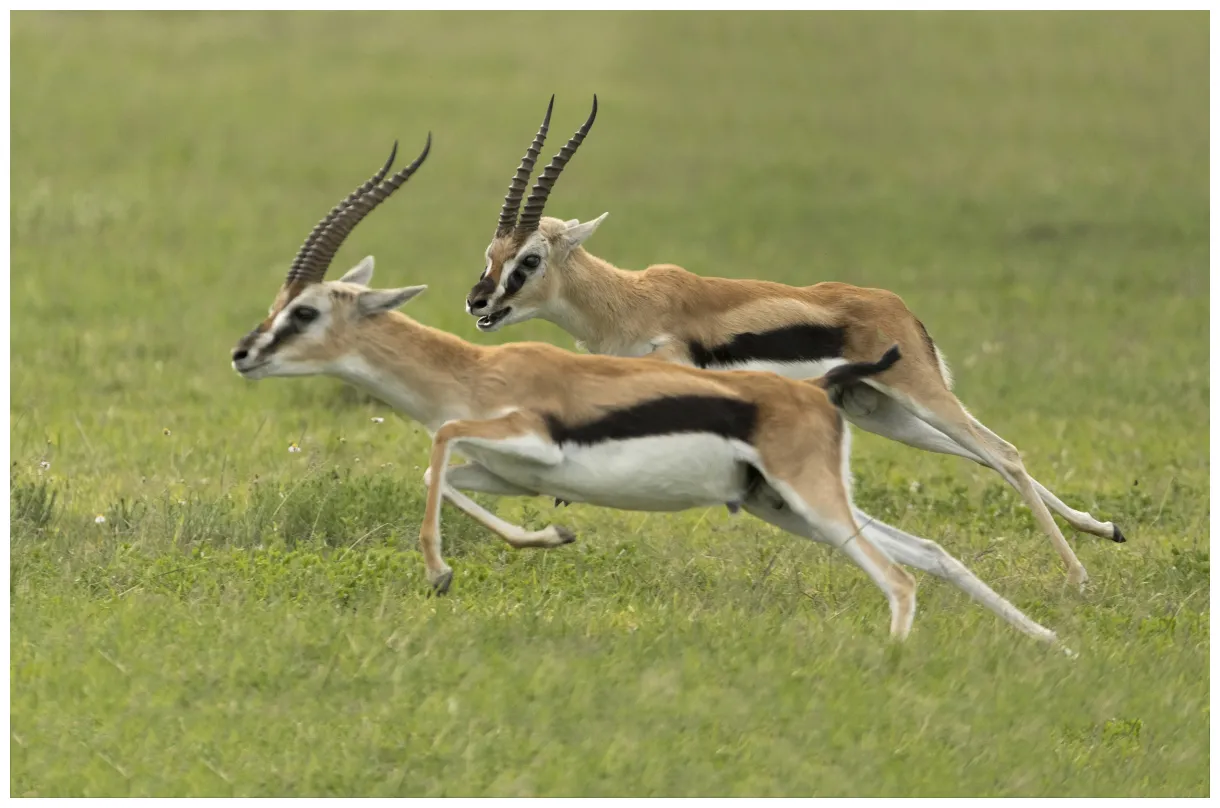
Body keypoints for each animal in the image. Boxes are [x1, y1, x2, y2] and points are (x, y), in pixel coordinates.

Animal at [229, 133, 1065, 648]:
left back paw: (1064, 586)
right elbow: (449, 474)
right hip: (823, 471)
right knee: (938, 537)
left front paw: (442, 571)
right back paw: (1057, 625)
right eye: (487, 255)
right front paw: (550, 536)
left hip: (886, 430)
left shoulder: (527, 431)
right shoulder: (502, 468)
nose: (243, 353)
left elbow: (437, 448)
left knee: (979, 482)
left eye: (304, 312)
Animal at [465, 96, 1126, 589]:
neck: (630, 304)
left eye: (530, 259)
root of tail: (900, 310)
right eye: (491, 254)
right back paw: (1105, 530)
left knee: (1003, 452)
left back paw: (1079, 578)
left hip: (919, 394)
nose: (478, 302)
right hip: (882, 412)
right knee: (983, 454)